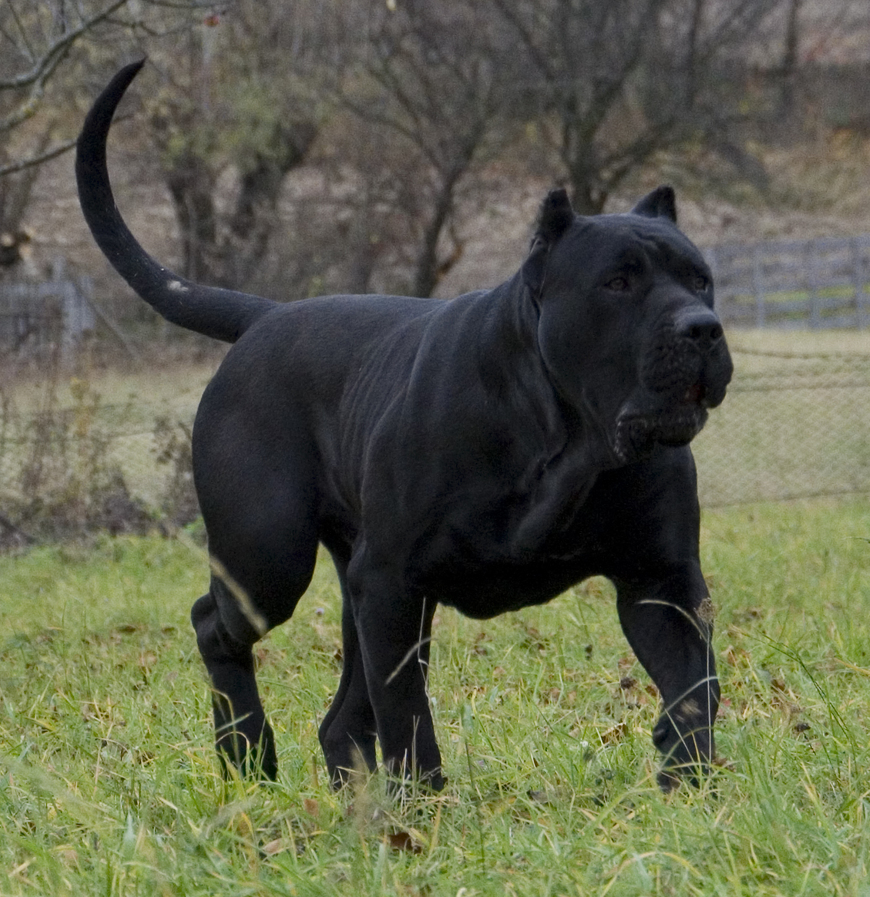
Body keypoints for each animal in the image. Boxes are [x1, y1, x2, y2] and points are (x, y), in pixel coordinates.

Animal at [75, 61, 732, 792]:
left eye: (700, 279)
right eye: (618, 282)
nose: (702, 327)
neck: (566, 442)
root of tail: (264, 317)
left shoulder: (661, 580)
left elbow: (694, 684)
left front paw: (689, 781)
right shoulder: (393, 584)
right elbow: (408, 714)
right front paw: (424, 805)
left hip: (347, 583)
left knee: (339, 718)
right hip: (269, 556)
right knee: (213, 625)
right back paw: (247, 754)